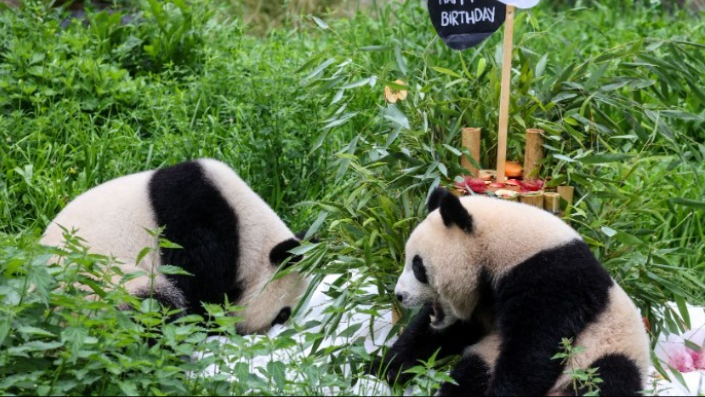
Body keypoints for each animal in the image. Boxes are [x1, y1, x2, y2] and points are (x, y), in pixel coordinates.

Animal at [374, 188, 648, 396]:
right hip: (486, 355)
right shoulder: (481, 302)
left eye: (418, 266)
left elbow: (534, 348)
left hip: (605, 350)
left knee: (606, 379)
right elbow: (435, 335)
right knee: (470, 373)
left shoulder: (552, 280)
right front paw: (381, 369)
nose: (399, 295)